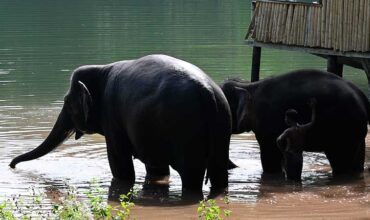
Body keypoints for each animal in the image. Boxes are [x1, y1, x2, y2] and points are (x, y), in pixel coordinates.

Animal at [221, 70, 368, 180]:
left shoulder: (268, 124)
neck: (249, 86)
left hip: (344, 129)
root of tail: (363, 98)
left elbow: (270, 158)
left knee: (340, 162)